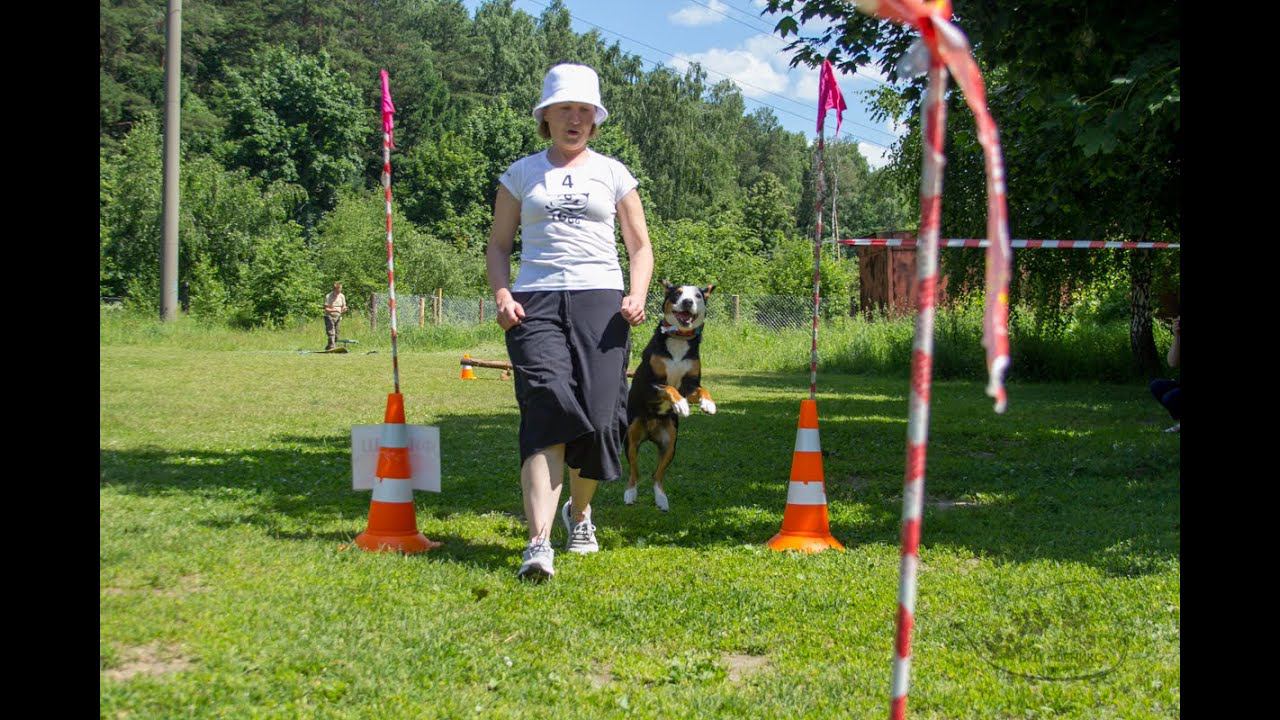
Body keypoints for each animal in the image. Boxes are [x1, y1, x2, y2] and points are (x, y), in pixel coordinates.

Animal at [624, 278, 716, 507]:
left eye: (698, 295)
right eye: (677, 293)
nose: (687, 301)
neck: (678, 339)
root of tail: (650, 431)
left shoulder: (690, 384)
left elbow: (701, 389)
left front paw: (708, 404)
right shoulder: (651, 384)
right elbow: (669, 388)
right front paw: (681, 404)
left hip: (671, 443)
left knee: (656, 475)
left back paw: (661, 499)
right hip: (631, 437)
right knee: (634, 471)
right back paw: (630, 494)